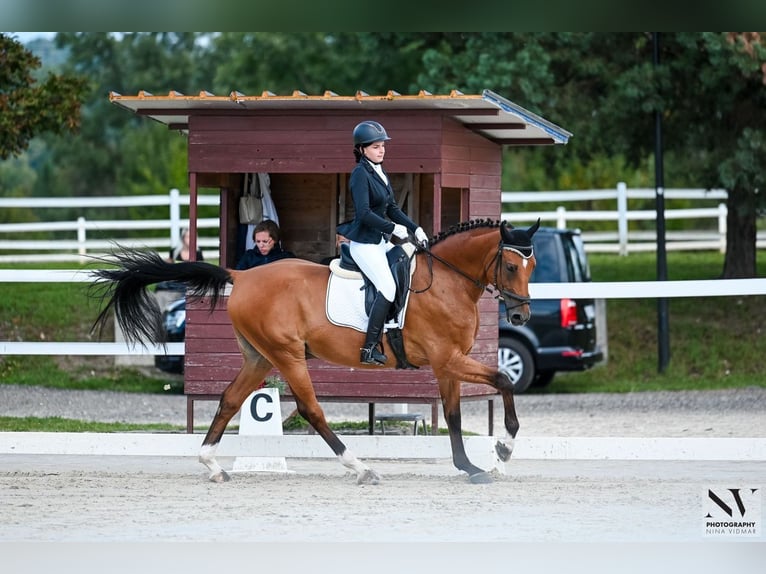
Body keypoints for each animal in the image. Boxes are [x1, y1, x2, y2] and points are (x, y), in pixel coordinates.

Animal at [91, 218, 539, 484]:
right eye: (511, 267)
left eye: (531, 268)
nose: (521, 316)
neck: (447, 281)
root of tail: (243, 275)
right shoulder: (448, 360)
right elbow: (502, 380)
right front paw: (502, 452)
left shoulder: (447, 365)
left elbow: (454, 416)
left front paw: (472, 467)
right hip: (287, 355)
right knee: (311, 409)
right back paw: (360, 467)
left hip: (260, 357)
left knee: (230, 399)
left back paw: (213, 466)